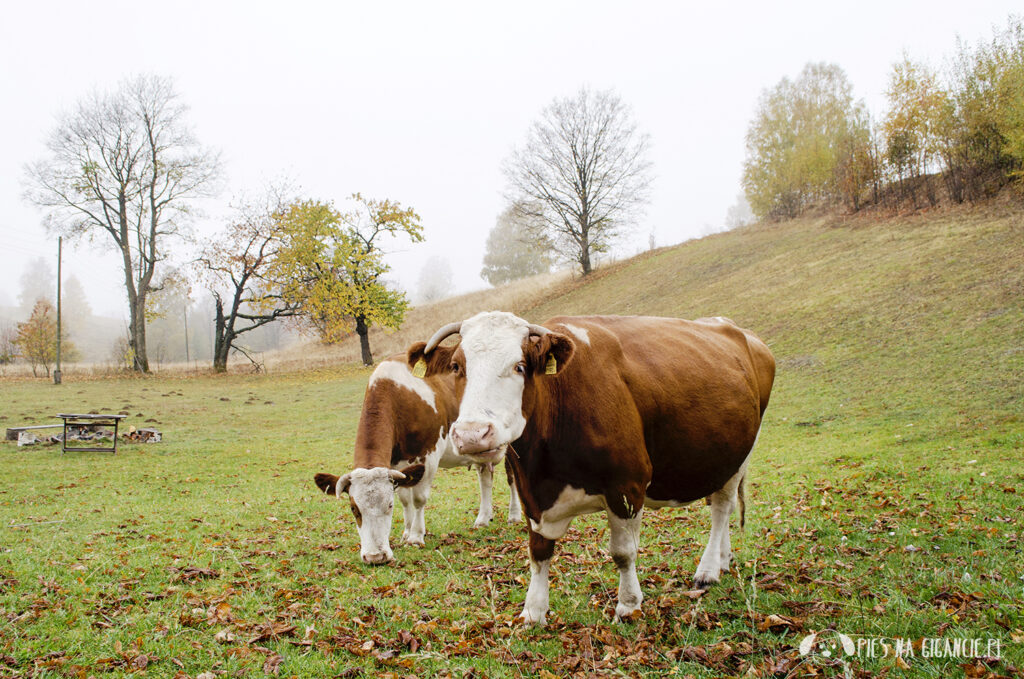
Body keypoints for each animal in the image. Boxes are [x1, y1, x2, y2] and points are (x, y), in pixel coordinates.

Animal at [311, 342, 520, 565]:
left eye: (389, 506)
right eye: (353, 508)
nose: (376, 557)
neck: (396, 395)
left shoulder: (429, 455)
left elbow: (419, 498)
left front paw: (416, 536)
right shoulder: (396, 463)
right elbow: (405, 497)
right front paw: (406, 532)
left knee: (512, 476)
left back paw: (514, 515)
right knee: (485, 478)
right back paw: (483, 518)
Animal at [419, 311, 770, 622]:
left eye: (519, 366)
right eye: (457, 366)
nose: (472, 434)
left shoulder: (627, 486)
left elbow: (623, 553)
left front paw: (628, 605)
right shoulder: (531, 495)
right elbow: (538, 552)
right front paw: (533, 611)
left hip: (741, 454)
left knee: (721, 508)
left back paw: (708, 569)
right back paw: (723, 560)